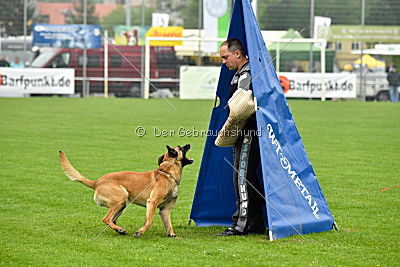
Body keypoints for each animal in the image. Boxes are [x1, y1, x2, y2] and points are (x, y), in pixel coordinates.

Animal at [58, 146, 193, 238]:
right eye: (181, 147)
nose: (188, 144)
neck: (167, 174)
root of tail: (97, 182)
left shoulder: (165, 210)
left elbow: (169, 225)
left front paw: (173, 236)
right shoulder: (152, 203)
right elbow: (149, 221)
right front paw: (139, 232)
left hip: (121, 204)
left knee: (112, 220)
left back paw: (119, 230)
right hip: (121, 198)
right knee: (106, 219)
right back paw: (120, 229)